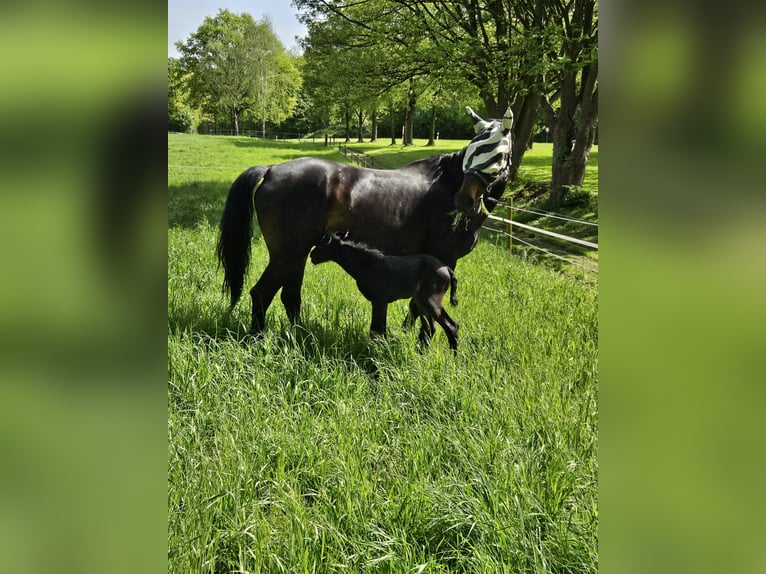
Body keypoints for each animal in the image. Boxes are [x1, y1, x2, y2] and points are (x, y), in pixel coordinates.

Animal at [219, 106, 512, 336]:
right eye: (473, 149)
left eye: (497, 152)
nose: (463, 199)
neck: (445, 185)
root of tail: (270, 170)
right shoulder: (443, 259)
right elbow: (418, 307)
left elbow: (417, 307)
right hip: (287, 254)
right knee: (262, 293)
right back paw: (258, 339)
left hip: (297, 255)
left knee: (290, 297)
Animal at [308, 233, 460, 352]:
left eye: (321, 244)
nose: (311, 255)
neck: (366, 264)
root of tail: (447, 269)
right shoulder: (382, 303)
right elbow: (380, 328)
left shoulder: (379, 301)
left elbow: (376, 329)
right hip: (424, 304)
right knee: (435, 327)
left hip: (428, 302)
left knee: (448, 326)